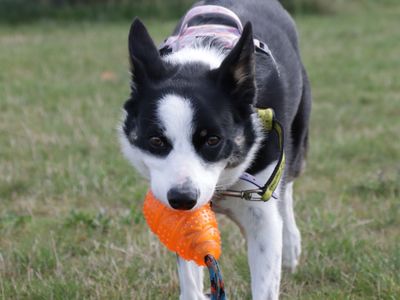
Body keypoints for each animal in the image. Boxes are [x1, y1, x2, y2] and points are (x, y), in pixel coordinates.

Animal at [119, 0, 312, 298]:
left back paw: (291, 244)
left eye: (212, 140)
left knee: (288, 183)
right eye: (156, 141)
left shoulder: (262, 215)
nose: (182, 198)